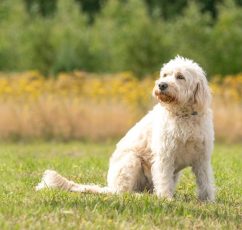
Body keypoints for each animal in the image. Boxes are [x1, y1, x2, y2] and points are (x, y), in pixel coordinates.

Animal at [36, 56, 216, 201]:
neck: (184, 116)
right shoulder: (164, 157)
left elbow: (205, 181)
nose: (161, 85)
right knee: (123, 192)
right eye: (165, 74)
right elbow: (164, 180)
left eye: (180, 77)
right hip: (131, 160)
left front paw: (208, 201)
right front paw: (166, 199)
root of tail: (109, 187)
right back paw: (139, 196)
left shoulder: (202, 159)